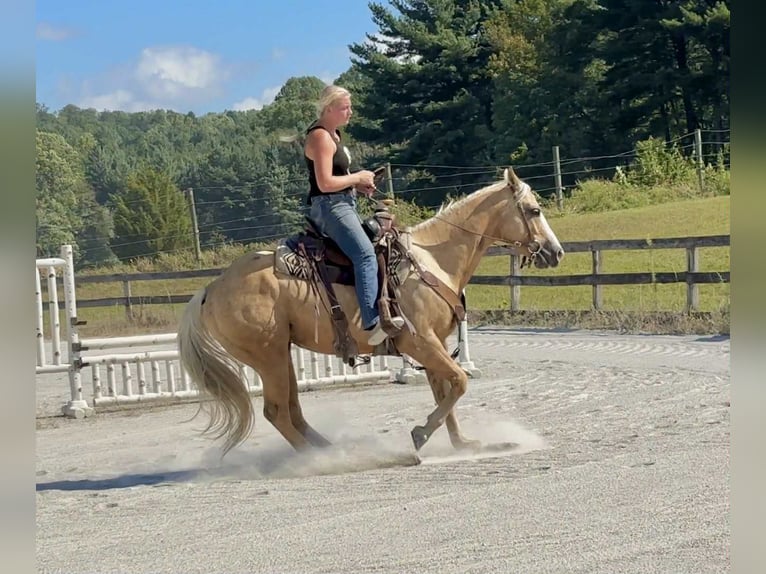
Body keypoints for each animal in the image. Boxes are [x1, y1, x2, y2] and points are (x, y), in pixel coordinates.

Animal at [177, 167, 564, 456]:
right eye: (534, 210)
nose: (556, 251)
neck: (431, 260)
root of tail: (211, 289)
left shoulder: (434, 344)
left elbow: (447, 390)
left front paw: (464, 444)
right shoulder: (419, 342)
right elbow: (459, 381)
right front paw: (421, 433)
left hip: (280, 354)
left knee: (292, 410)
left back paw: (329, 449)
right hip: (267, 356)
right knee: (277, 412)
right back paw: (326, 460)